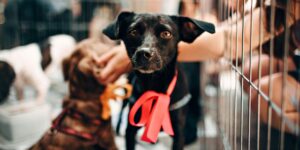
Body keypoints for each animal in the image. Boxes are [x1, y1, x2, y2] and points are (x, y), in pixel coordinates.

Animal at [103, 12, 216, 150]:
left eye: (166, 33)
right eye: (133, 32)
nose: (144, 53)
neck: (154, 84)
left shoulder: (178, 134)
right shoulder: (131, 130)